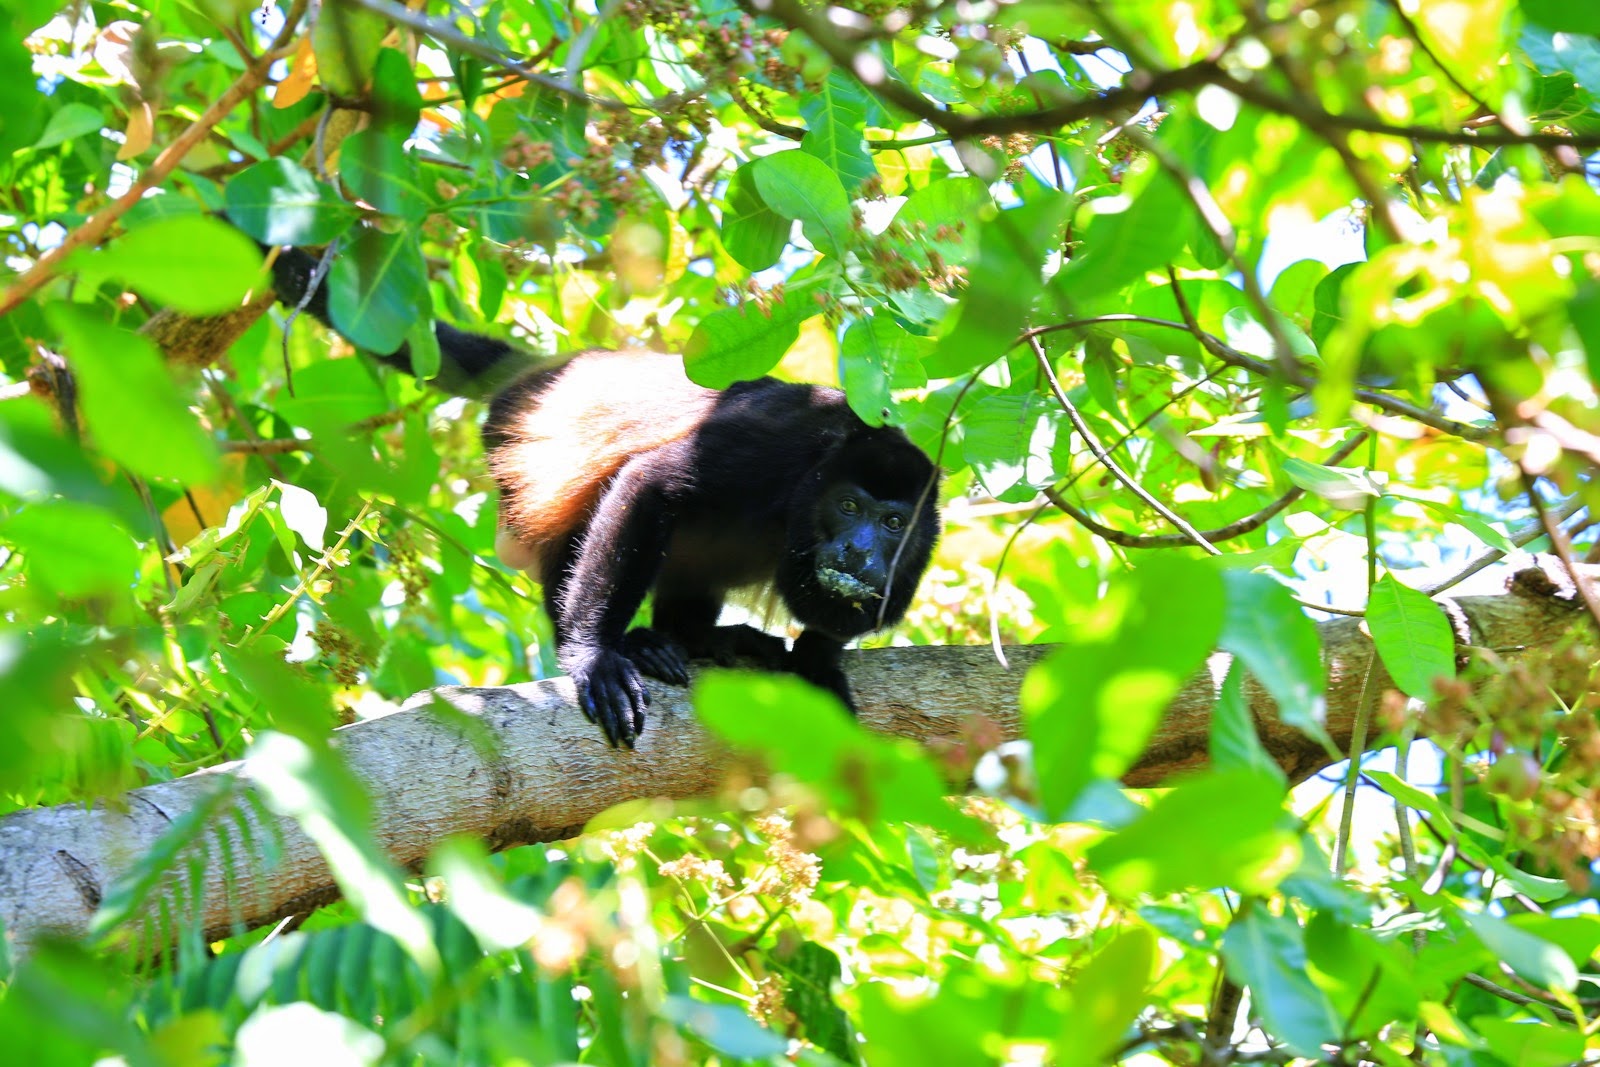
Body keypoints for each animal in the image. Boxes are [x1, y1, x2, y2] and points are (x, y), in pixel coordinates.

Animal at [267, 247, 941, 748]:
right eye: (848, 507)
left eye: (892, 522)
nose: (857, 551)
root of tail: (539, 371)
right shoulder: (773, 444)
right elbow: (652, 481)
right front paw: (593, 656)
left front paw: (818, 660)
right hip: (512, 444)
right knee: (573, 524)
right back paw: (634, 644)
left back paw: (700, 639)